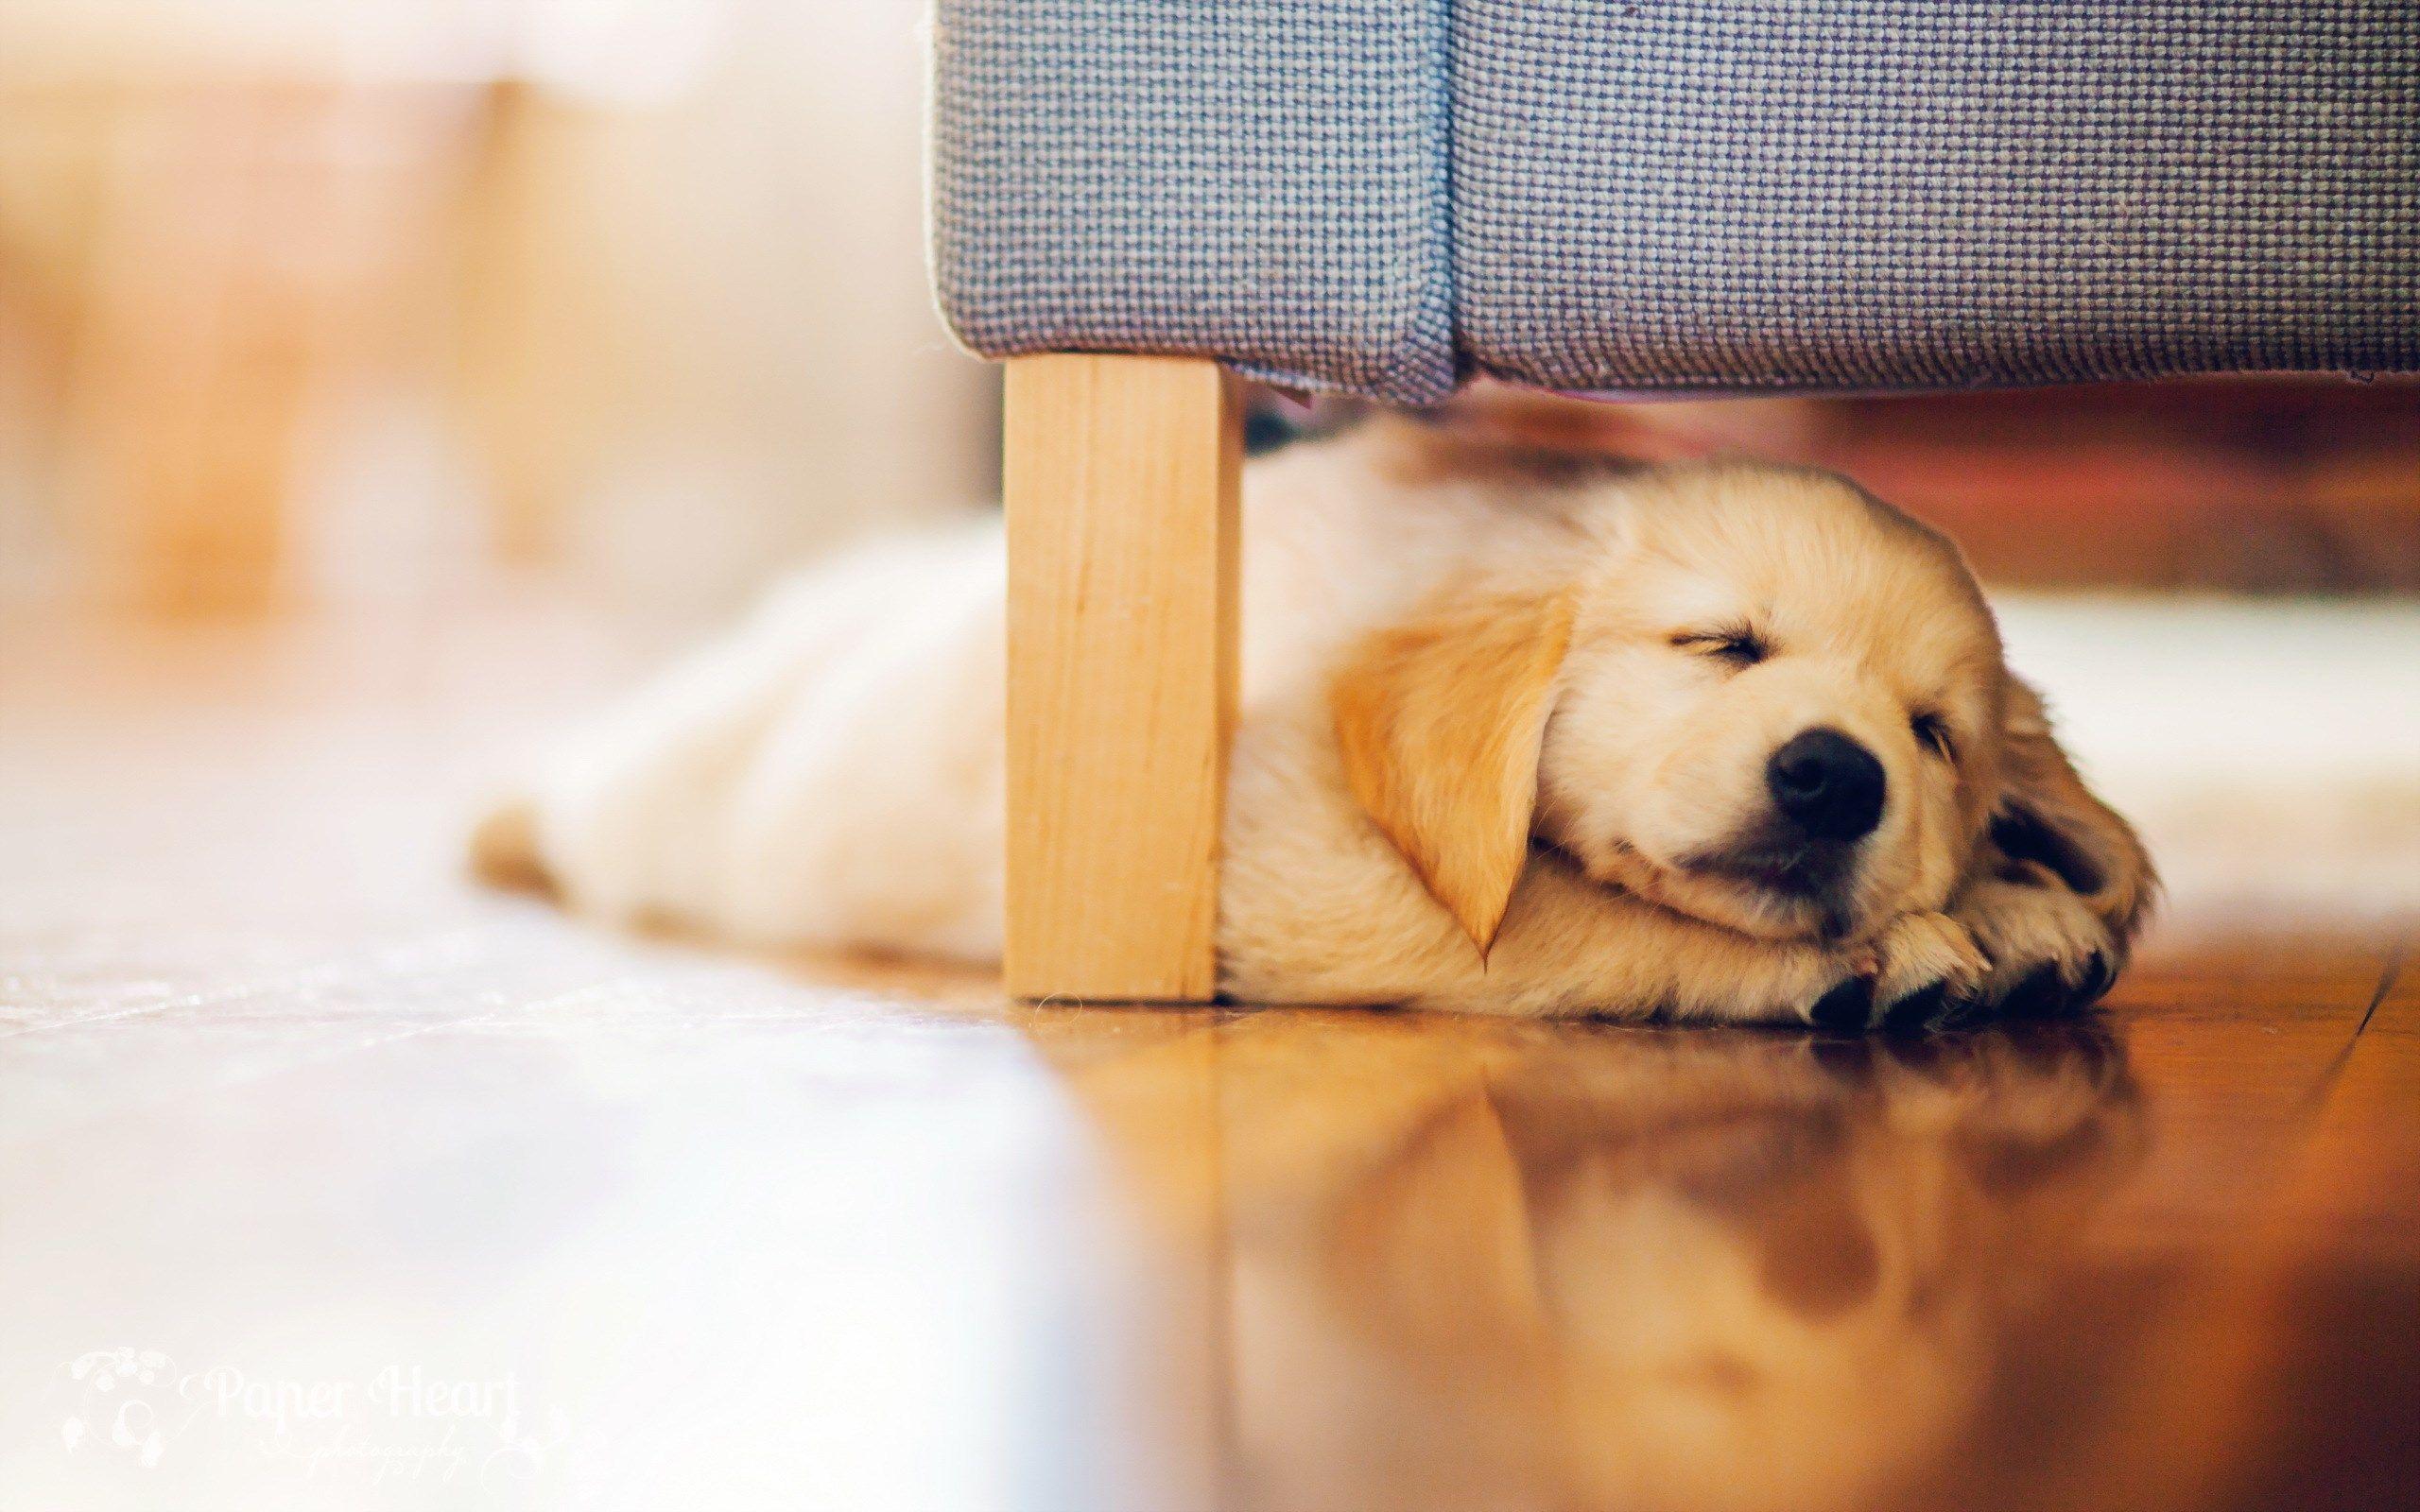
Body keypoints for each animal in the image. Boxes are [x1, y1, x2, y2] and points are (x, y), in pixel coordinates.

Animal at [472, 416, 2158, 1025]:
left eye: (1934, 736)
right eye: (1721, 644)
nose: (1833, 778)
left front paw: (2019, 901)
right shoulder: (1281, 858)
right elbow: (1574, 915)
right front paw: (1909, 945)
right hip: (674, 787)